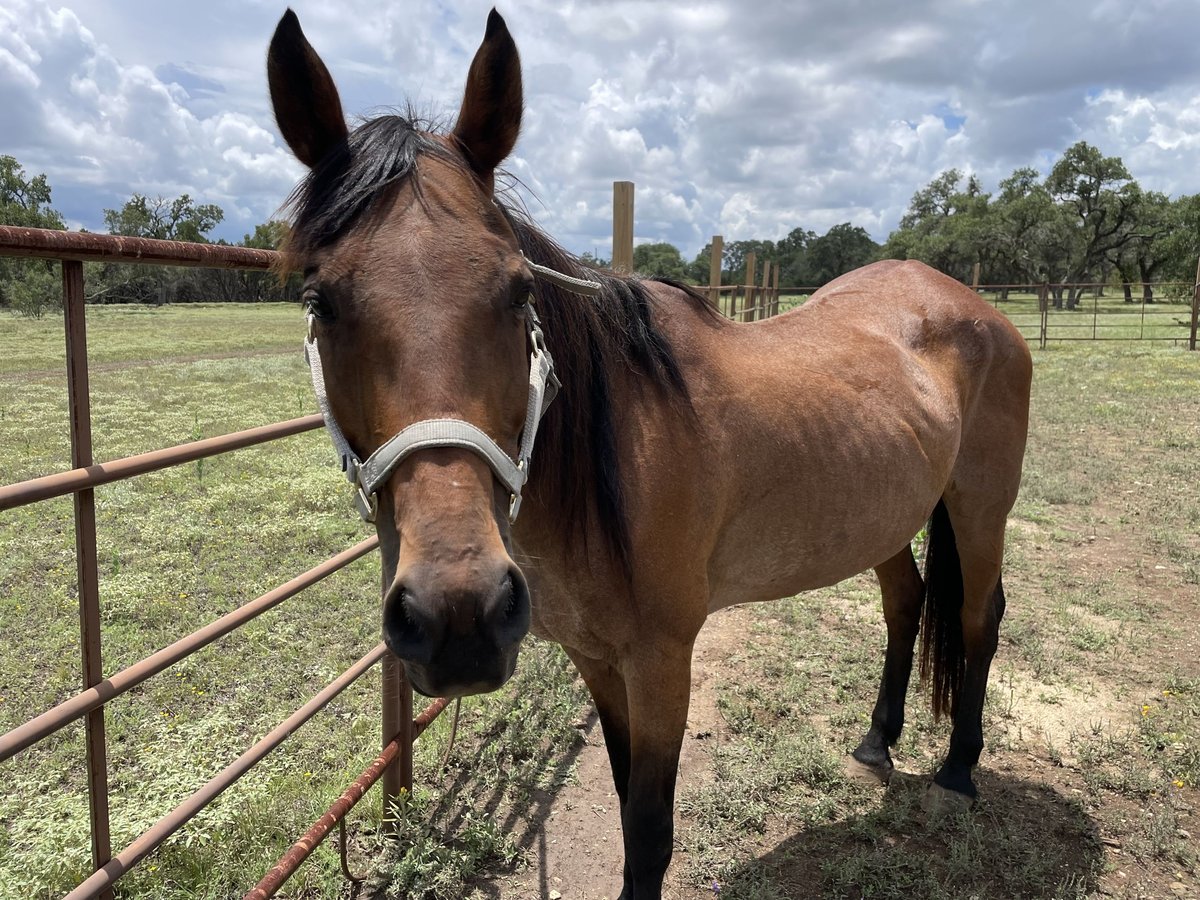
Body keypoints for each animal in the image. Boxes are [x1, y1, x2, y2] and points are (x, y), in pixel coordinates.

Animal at [265, 8, 1032, 900]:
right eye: (321, 300)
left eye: (517, 291)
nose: (458, 614)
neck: (608, 466)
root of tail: (972, 305)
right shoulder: (599, 659)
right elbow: (629, 796)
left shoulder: (664, 660)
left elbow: (650, 833)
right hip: (885, 514)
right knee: (905, 603)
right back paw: (879, 739)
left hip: (979, 504)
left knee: (979, 617)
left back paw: (959, 769)